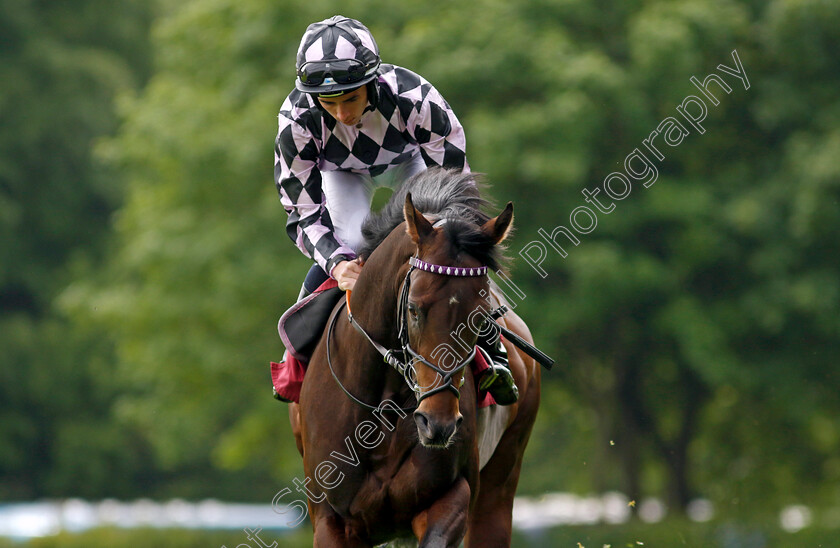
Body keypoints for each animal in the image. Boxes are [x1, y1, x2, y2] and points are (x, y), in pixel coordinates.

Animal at [288, 169, 540, 544]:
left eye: (482, 316)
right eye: (413, 309)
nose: (438, 424)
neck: (383, 405)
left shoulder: (450, 495)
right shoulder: (330, 517)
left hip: (501, 481)